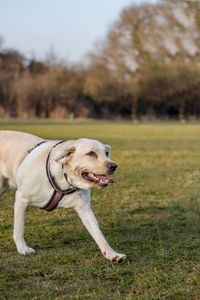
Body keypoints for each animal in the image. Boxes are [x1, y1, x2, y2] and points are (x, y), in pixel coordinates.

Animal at [0, 130, 126, 264]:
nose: (114, 166)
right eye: (91, 153)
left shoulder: (85, 209)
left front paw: (112, 254)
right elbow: (19, 228)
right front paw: (23, 249)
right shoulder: (21, 199)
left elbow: (98, 234)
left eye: (106, 153)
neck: (64, 178)